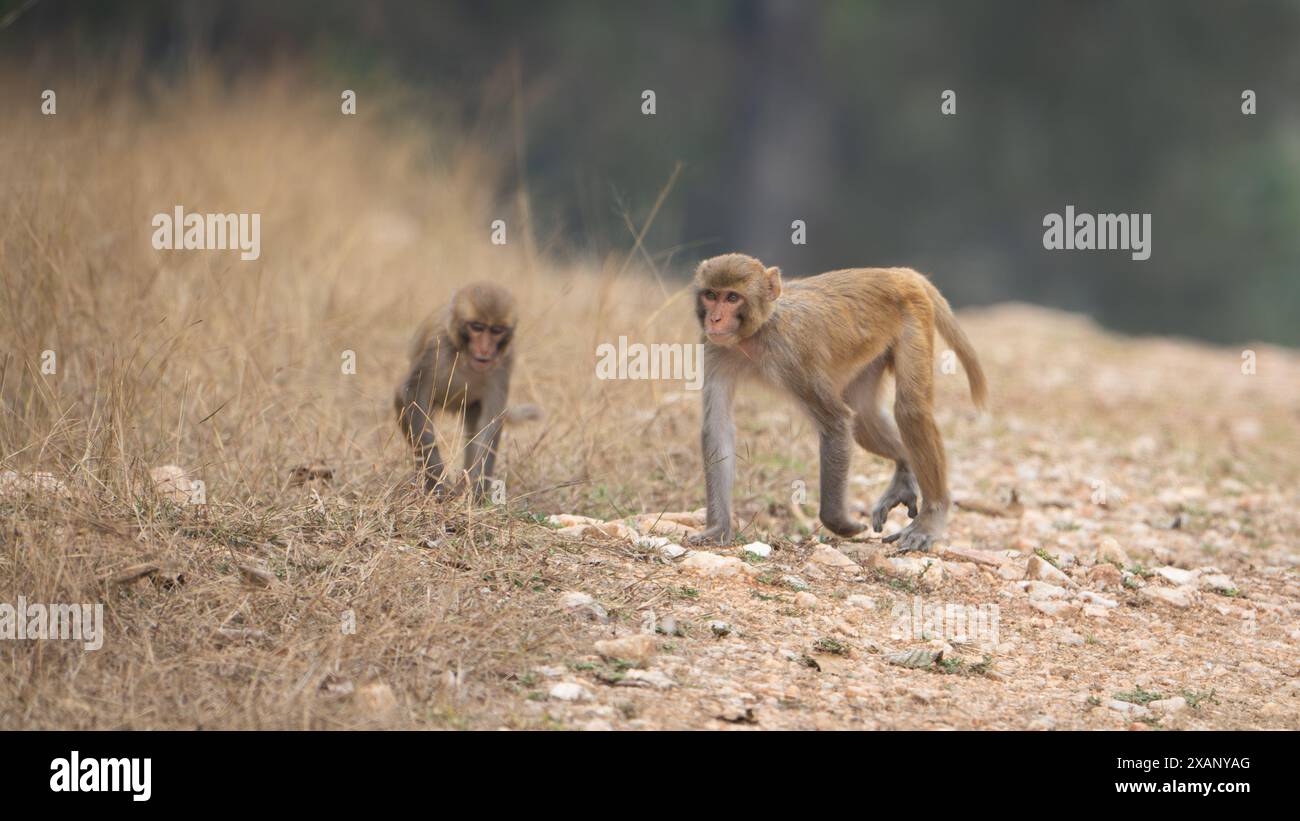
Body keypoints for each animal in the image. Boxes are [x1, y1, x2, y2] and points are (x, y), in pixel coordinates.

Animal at [394, 282, 540, 499]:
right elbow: (415, 397)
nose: (485, 349)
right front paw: (439, 485)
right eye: (477, 327)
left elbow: (488, 424)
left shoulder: (503, 363)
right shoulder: (436, 348)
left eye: (496, 330)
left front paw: (476, 494)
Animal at [688, 253, 986, 552]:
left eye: (732, 298)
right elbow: (718, 430)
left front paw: (839, 522)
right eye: (711, 295)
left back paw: (932, 516)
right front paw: (717, 529)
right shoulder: (714, 349)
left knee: (910, 410)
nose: (714, 319)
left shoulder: (792, 355)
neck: (756, 334)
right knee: (864, 418)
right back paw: (905, 470)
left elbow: (836, 422)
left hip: (915, 315)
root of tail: (898, 273)